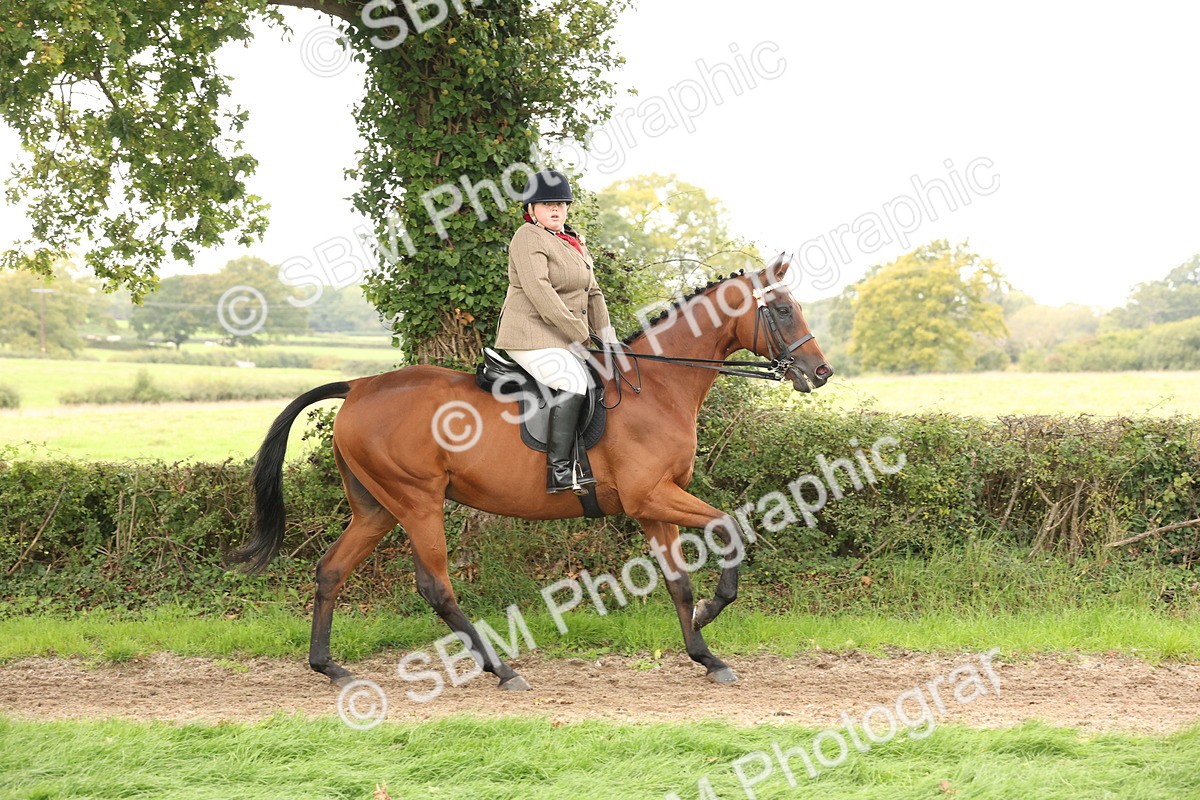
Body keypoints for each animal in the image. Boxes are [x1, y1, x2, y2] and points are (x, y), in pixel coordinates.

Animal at [230, 255, 833, 689]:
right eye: (782, 312)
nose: (820, 372)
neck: (658, 387)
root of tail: (358, 386)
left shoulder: (655, 505)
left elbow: (678, 582)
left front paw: (705, 652)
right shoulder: (651, 497)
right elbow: (730, 526)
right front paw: (712, 613)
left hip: (376, 507)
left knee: (332, 570)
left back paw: (329, 668)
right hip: (418, 501)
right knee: (436, 586)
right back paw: (502, 670)